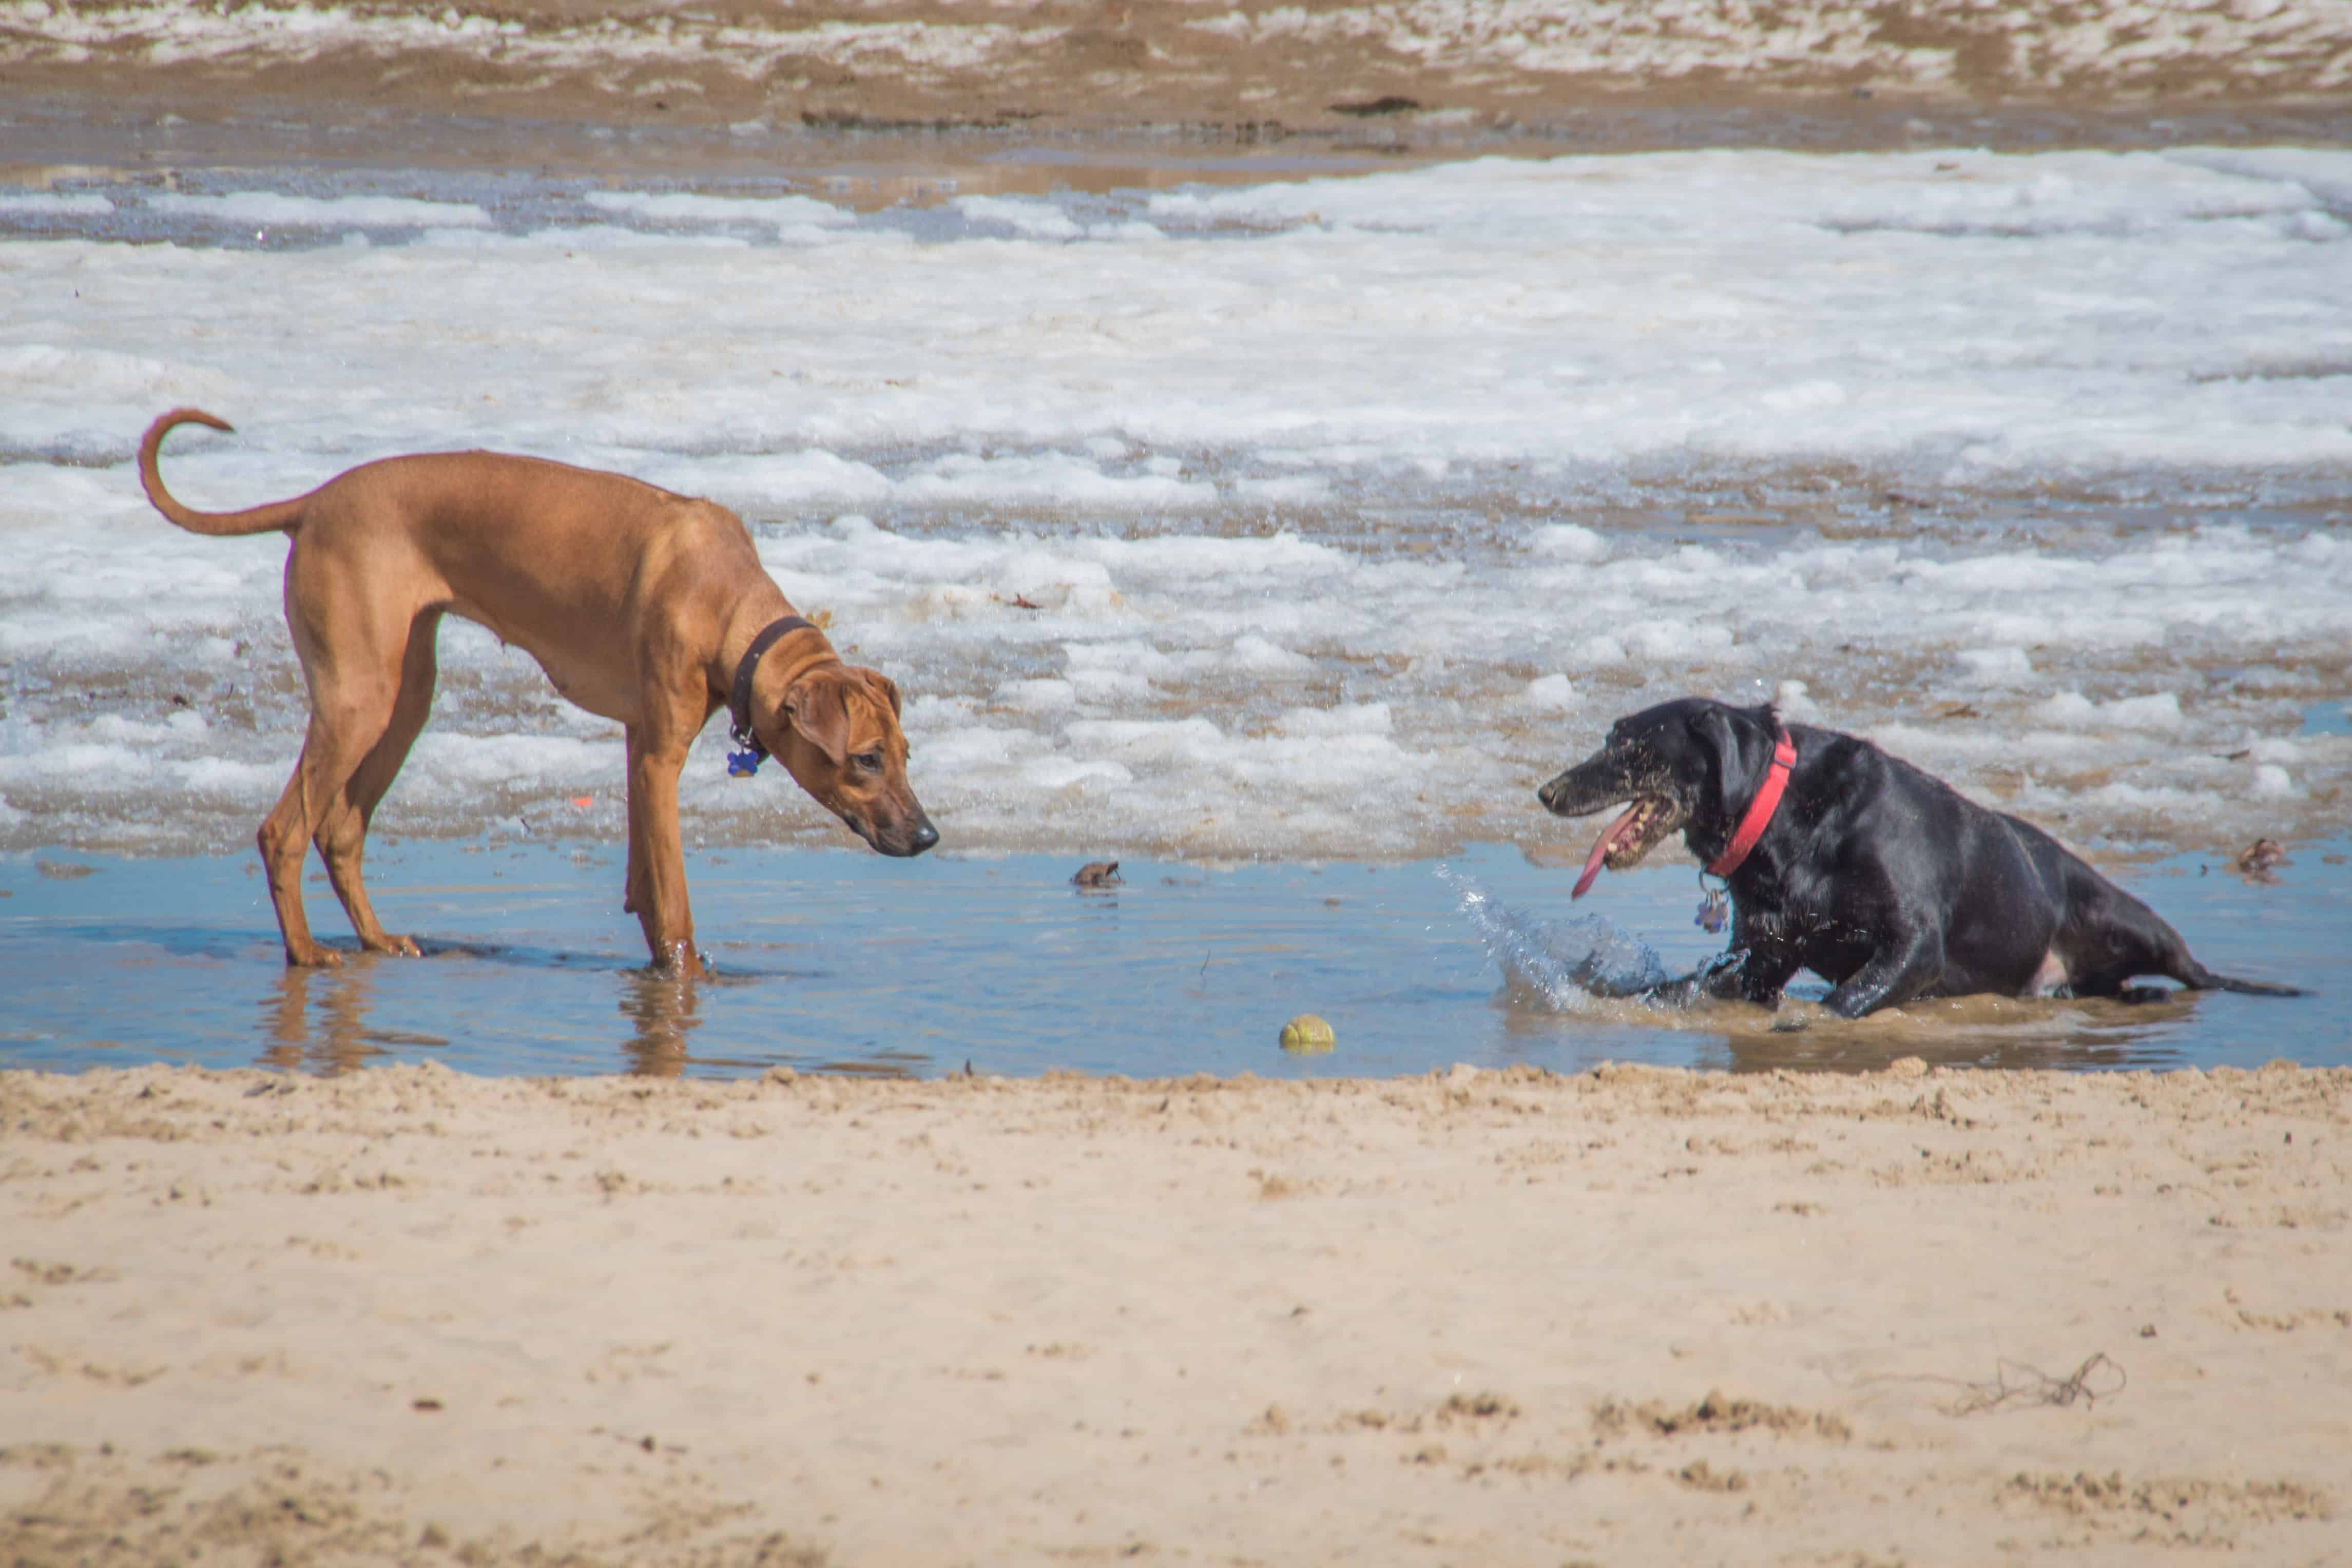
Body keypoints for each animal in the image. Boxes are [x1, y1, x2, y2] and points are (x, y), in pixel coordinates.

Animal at [138, 404, 936, 969]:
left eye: (905, 755)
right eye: (865, 758)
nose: (929, 835)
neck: (727, 602)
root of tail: (317, 501)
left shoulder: (638, 742)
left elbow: (645, 884)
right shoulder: (659, 758)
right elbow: (674, 900)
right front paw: (685, 978)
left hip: (405, 696)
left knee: (340, 828)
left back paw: (377, 941)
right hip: (357, 697)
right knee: (283, 830)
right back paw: (305, 952)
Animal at [1533, 700, 2305, 1020]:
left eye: (1633, 750)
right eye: (1608, 739)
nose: (1547, 791)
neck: (1788, 821)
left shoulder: (1914, 943)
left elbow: (1843, 1002)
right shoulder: (1763, 954)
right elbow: (1681, 988)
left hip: (2127, 919)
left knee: (2194, 969)